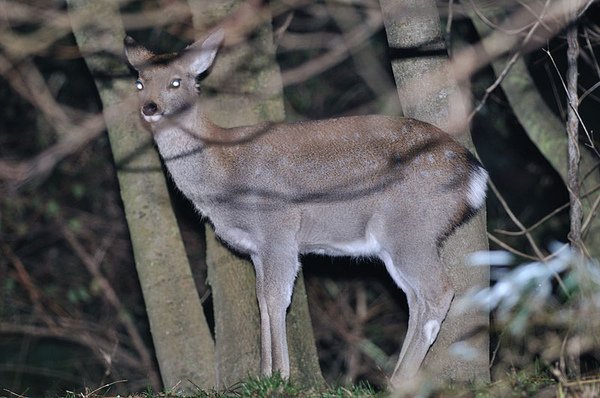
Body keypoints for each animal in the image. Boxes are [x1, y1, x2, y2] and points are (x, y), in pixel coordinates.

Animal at [125, 28, 488, 388]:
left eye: (176, 81)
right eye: (140, 83)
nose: (150, 107)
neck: (222, 173)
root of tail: (476, 175)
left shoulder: (278, 226)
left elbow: (276, 298)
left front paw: (282, 376)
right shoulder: (256, 247)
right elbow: (261, 299)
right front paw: (264, 373)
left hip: (411, 227)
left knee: (437, 292)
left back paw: (401, 380)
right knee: (416, 299)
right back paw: (398, 377)